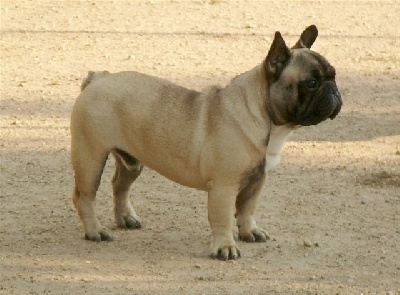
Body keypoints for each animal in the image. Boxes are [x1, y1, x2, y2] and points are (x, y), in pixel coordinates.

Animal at [70, 25, 342, 262]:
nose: (334, 92)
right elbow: (223, 218)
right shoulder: (224, 186)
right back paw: (95, 231)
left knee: (120, 185)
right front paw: (225, 248)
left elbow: (247, 209)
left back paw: (126, 219)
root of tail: (98, 78)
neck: (265, 117)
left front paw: (249, 232)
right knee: (84, 195)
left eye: (334, 76)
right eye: (312, 83)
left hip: (132, 161)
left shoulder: (257, 180)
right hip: (91, 157)